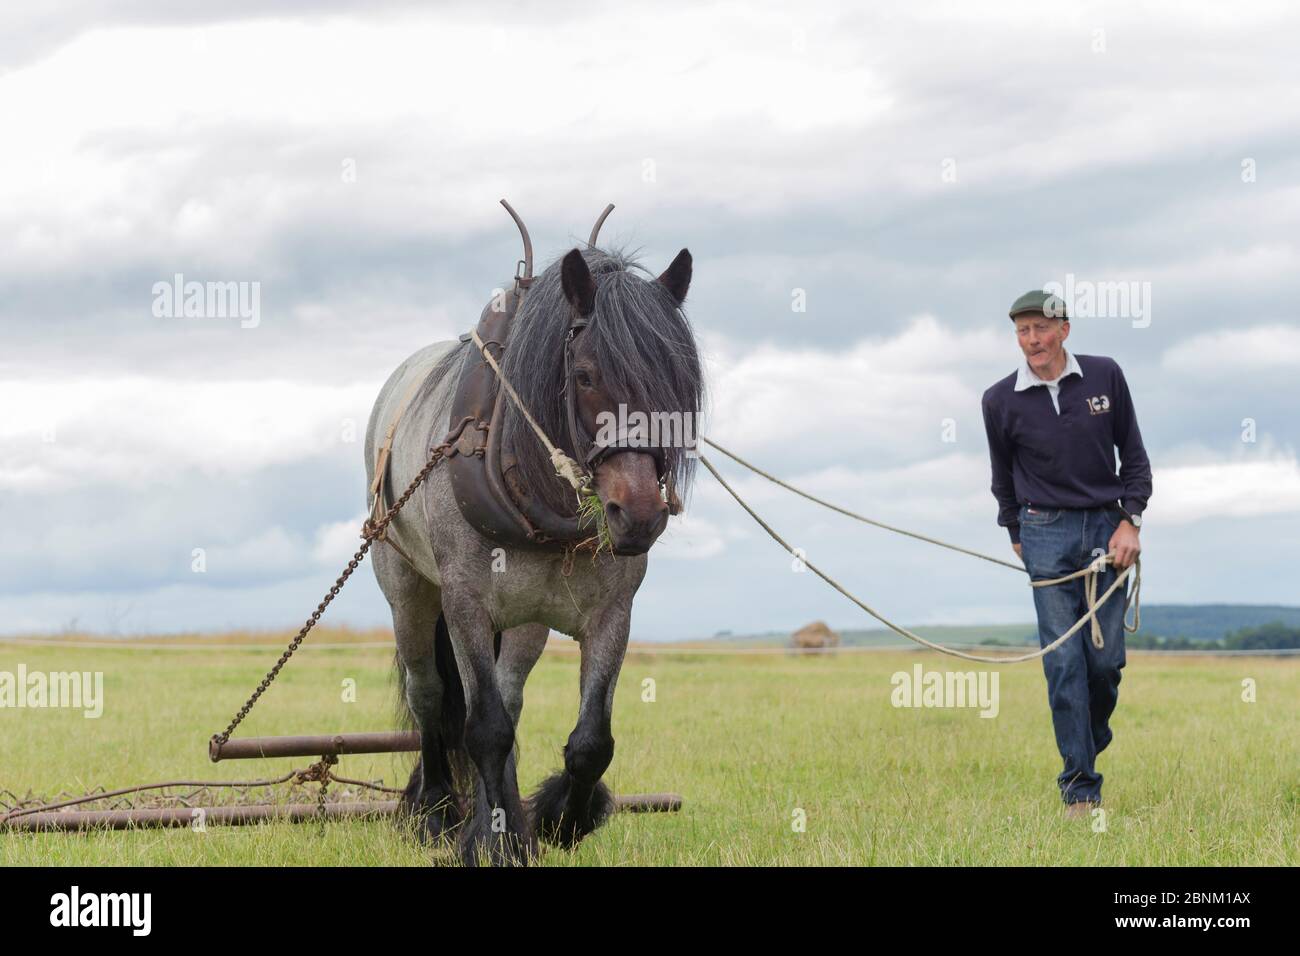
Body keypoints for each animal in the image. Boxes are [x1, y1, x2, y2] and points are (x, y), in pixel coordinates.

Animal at [361, 218, 707, 868]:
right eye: (585, 375)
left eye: (677, 385)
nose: (638, 516)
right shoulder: (465, 601)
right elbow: (484, 728)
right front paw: (492, 842)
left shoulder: (612, 613)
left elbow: (590, 741)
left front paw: (559, 820)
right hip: (409, 591)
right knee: (430, 696)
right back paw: (436, 811)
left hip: (526, 621)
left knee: (509, 695)